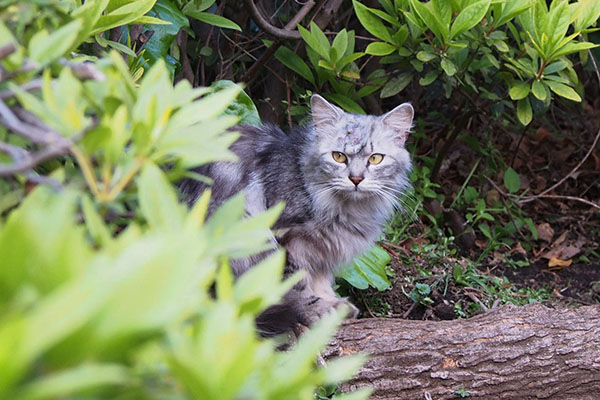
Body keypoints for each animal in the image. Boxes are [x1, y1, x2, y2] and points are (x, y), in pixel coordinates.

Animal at [178, 94, 412, 334]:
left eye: (375, 159)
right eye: (338, 157)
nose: (356, 179)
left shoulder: (322, 249)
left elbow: (320, 279)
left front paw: (332, 302)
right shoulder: (286, 238)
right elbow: (297, 284)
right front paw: (316, 310)